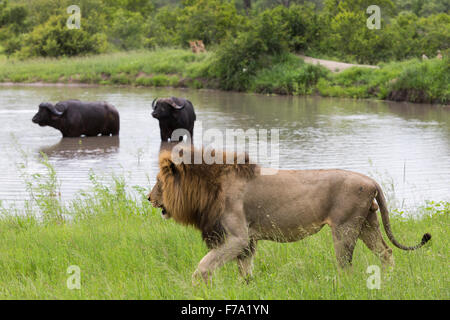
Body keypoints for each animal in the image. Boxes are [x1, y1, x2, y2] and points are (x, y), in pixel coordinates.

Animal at [147, 148, 428, 282]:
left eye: (159, 181)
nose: (149, 198)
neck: (211, 187)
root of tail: (371, 181)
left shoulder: (238, 237)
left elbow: (204, 264)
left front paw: (199, 285)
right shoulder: (248, 241)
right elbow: (244, 271)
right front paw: (246, 288)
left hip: (345, 228)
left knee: (345, 265)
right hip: (367, 223)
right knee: (386, 252)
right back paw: (389, 279)